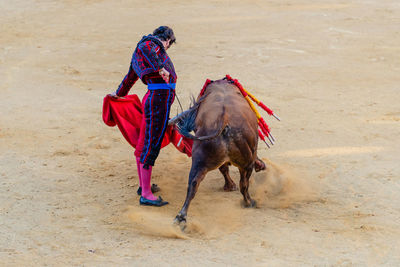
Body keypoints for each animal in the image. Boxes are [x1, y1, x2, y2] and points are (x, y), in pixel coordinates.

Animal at [169, 78, 266, 226]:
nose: (262, 165)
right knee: (244, 185)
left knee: (193, 184)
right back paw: (250, 202)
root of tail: (224, 122)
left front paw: (229, 186)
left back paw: (181, 217)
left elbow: (223, 168)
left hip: (200, 161)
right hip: (246, 164)